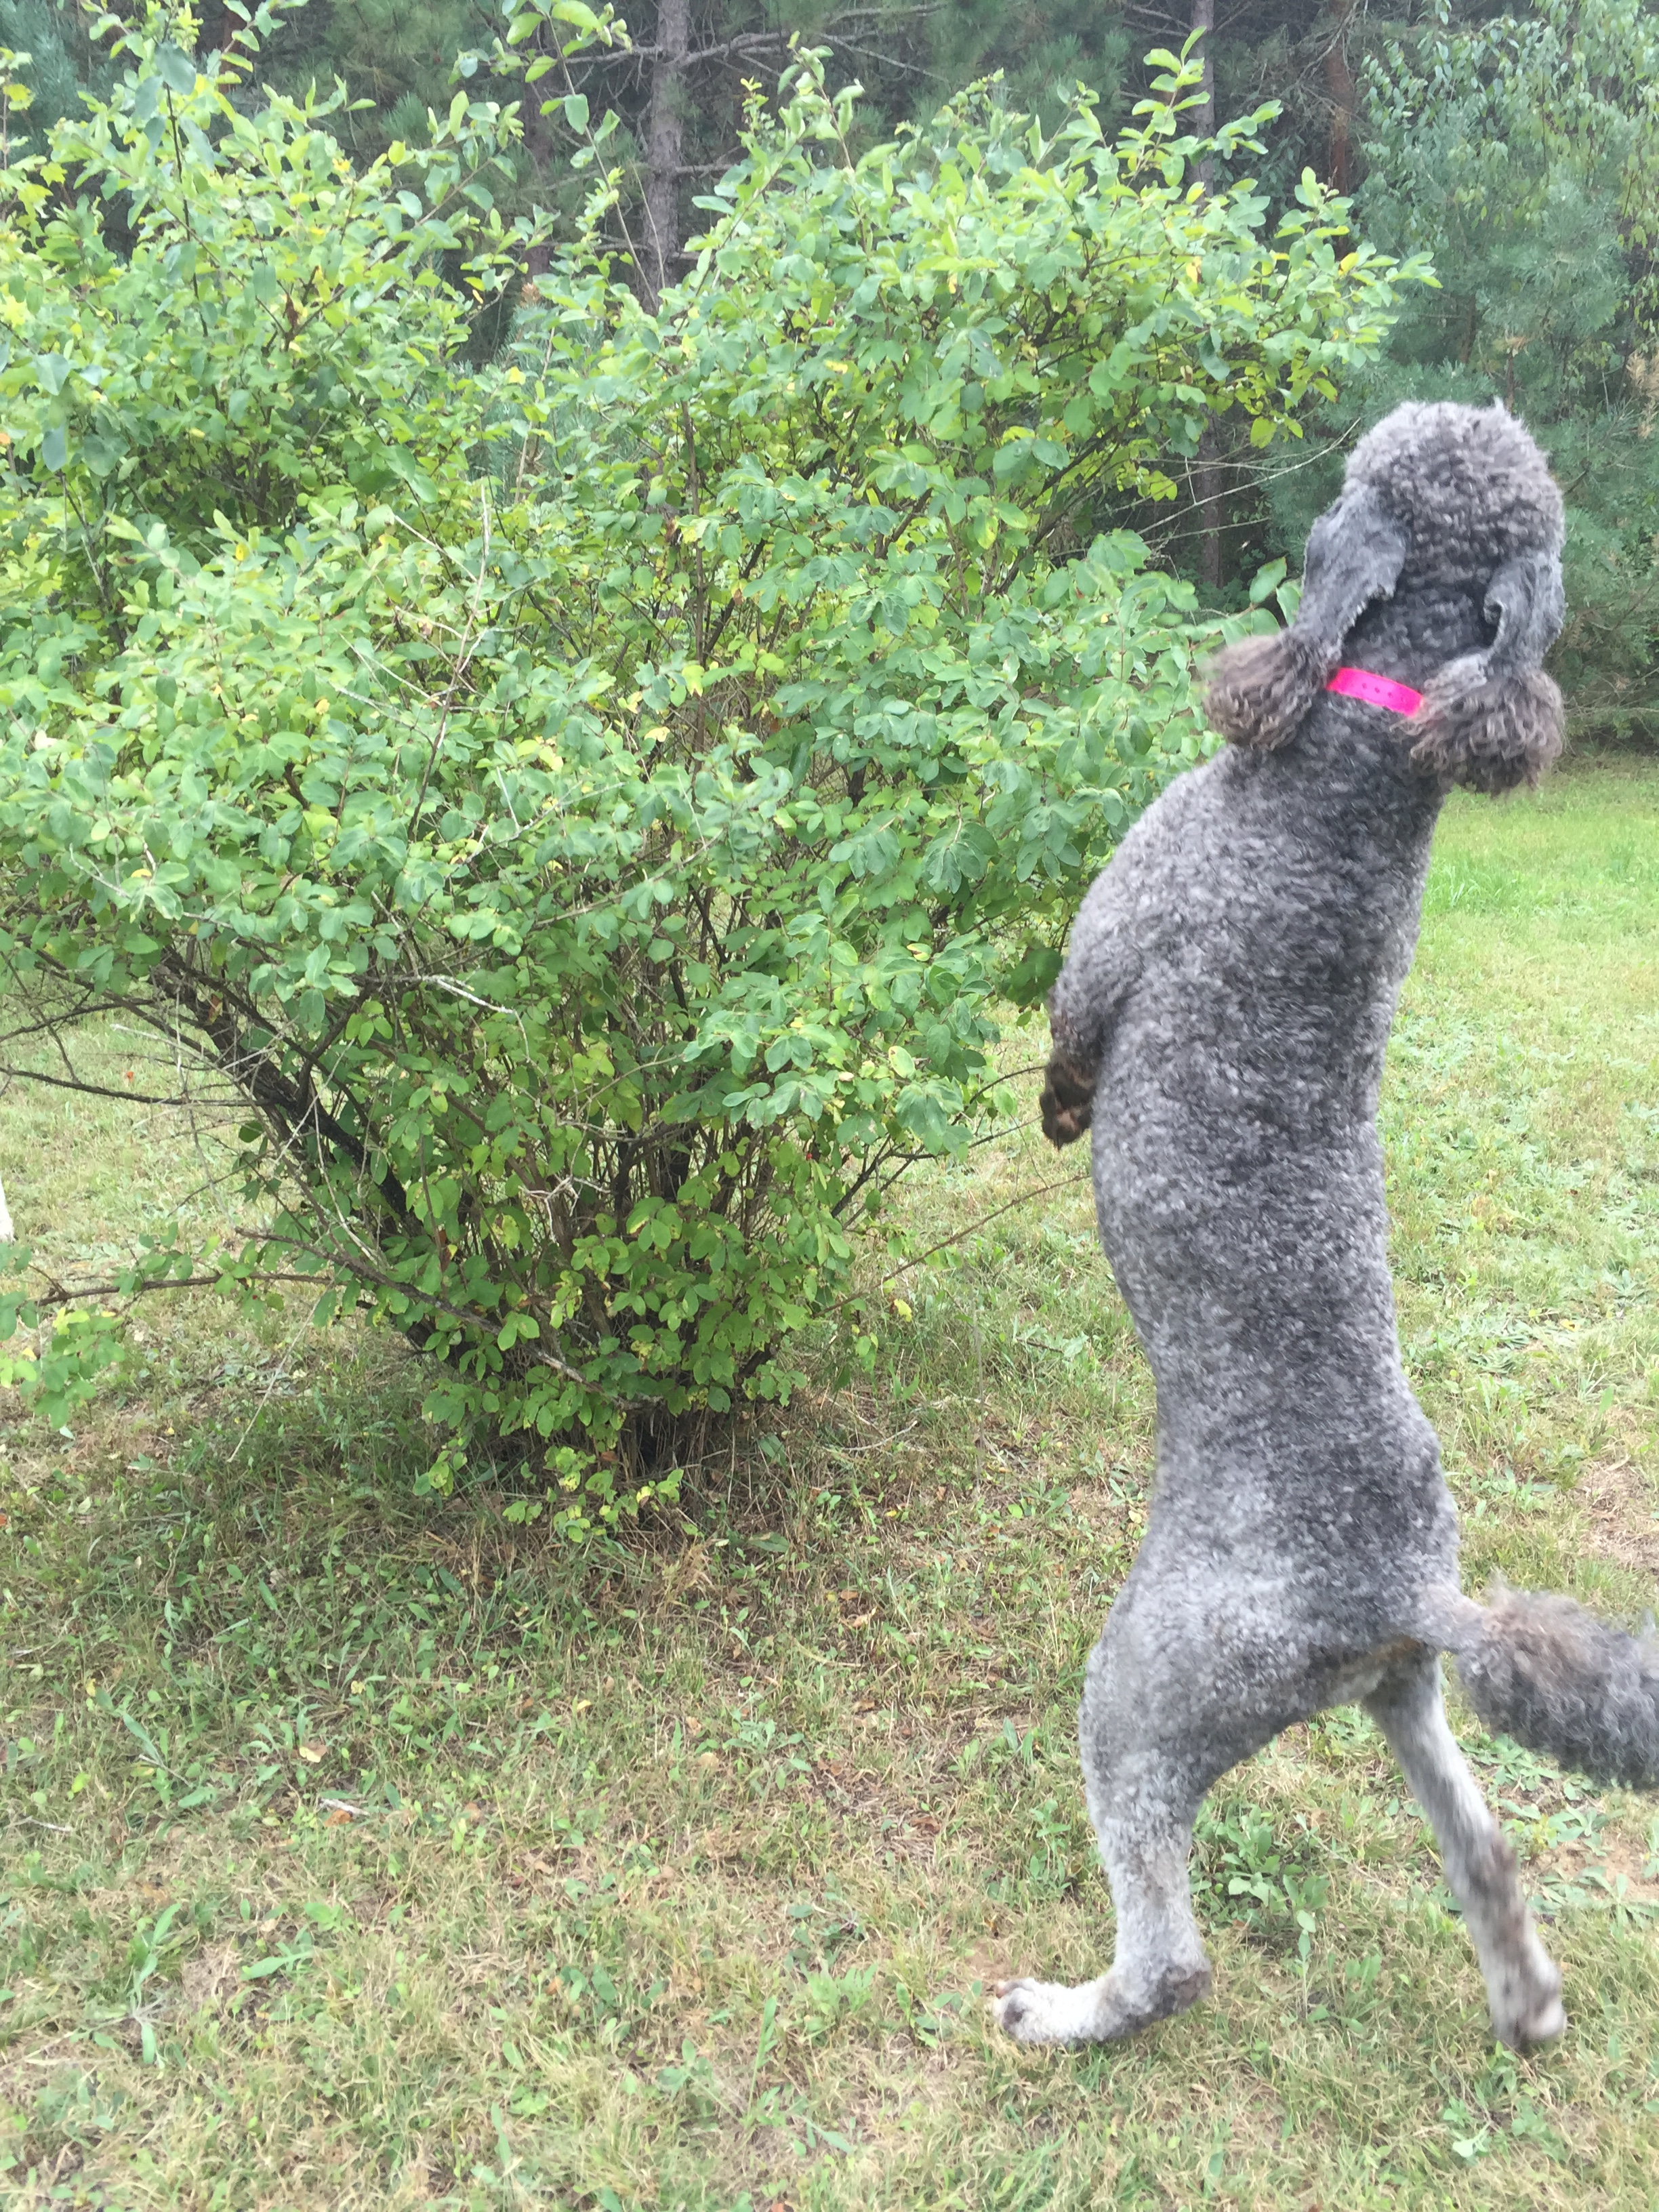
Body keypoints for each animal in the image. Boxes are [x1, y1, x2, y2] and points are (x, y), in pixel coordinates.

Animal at [993, 401, 1659, 2055]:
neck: (1356, 776)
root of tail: (1404, 1591)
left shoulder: (1114, 925)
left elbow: (1070, 1028)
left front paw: (1058, 1107)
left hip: (1148, 1693)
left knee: (1170, 1948)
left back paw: (1070, 2011)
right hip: (1397, 1701)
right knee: (1487, 1852)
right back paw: (1527, 2005)